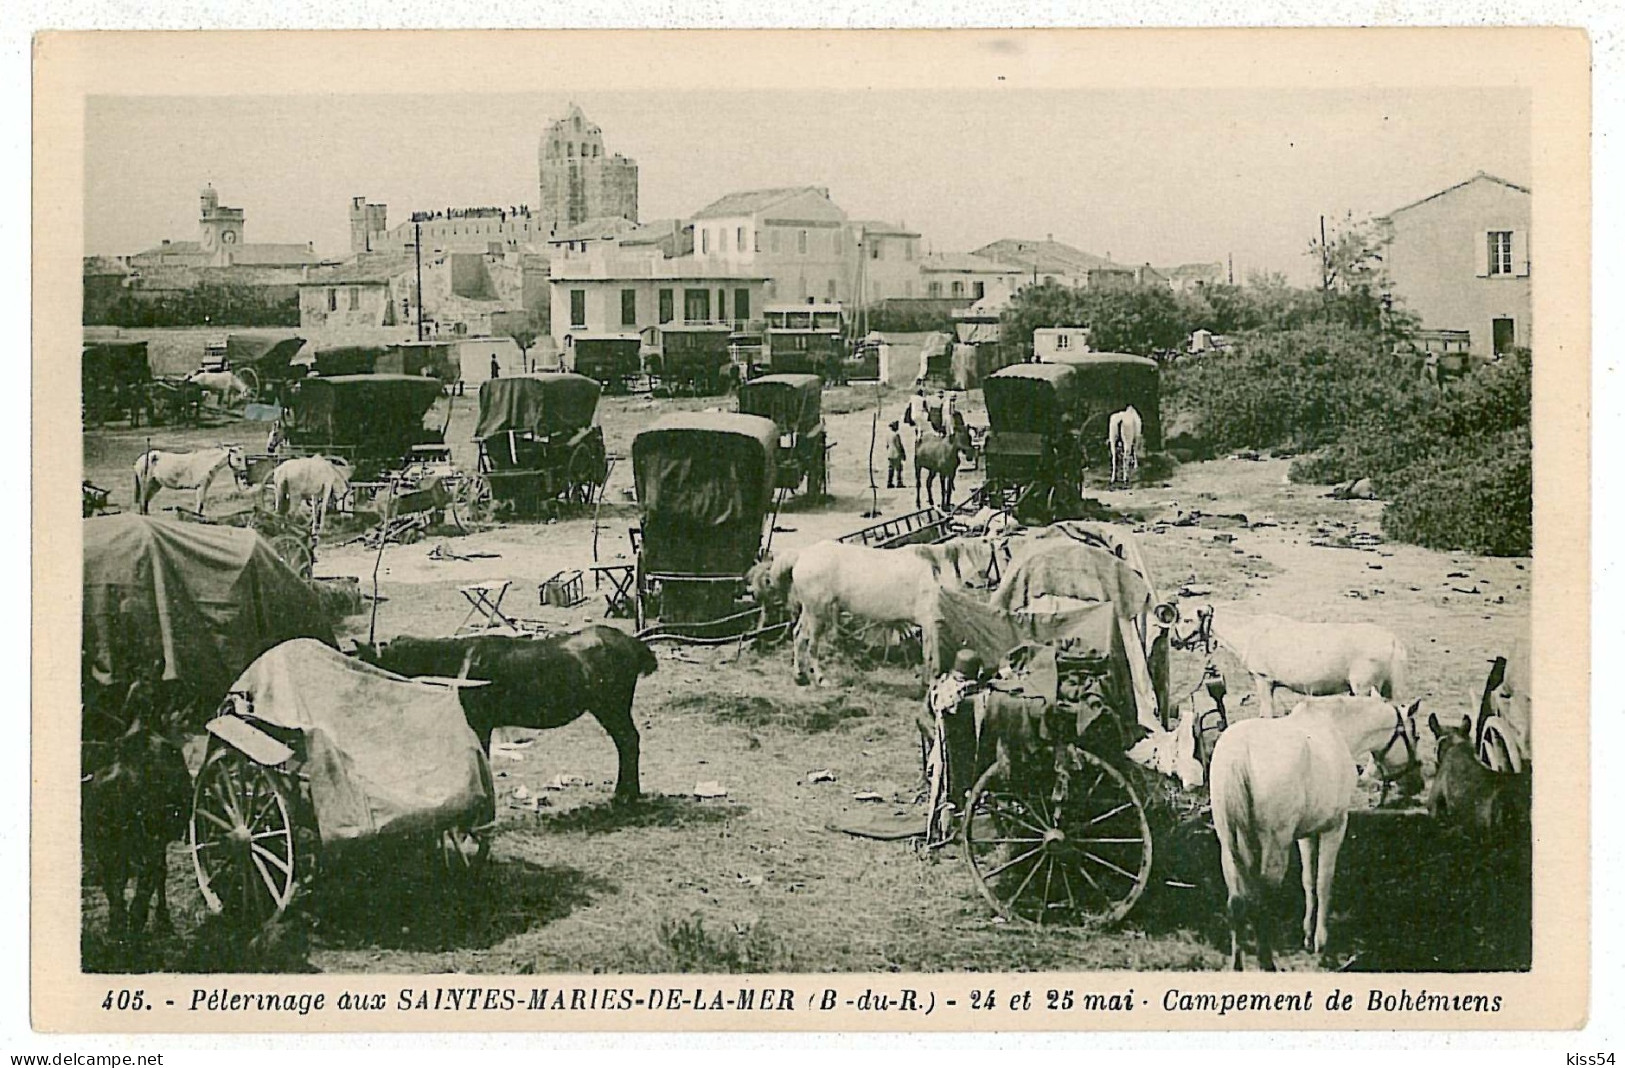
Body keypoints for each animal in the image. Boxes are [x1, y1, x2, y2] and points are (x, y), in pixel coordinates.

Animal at [352, 624, 656, 799]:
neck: (459, 663)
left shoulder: (480, 721)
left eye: (368, 666)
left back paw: (625, 795)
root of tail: (634, 644)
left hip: (611, 706)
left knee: (629, 741)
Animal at [783, 536, 942, 685]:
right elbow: (929, 654)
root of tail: (801, 556)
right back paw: (821, 679)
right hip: (818, 613)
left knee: (798, 635)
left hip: (809, 609)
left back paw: (799, 676)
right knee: (812, 645)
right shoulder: (929, 621)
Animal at [1209, 692, 1423, 968]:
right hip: (1275, 846)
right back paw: (1268, 962)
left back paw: (1237, 965)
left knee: (1236, 902)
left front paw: (1308, 935)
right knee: (1262, 900)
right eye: (1415, 735)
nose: (1417, 783)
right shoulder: (1335, 827)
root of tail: (1240, 753)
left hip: (1229, 846)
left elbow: (1308, 881)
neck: (1336, 728)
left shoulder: (1306, 835)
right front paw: (1321, 940)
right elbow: (1323, 882)